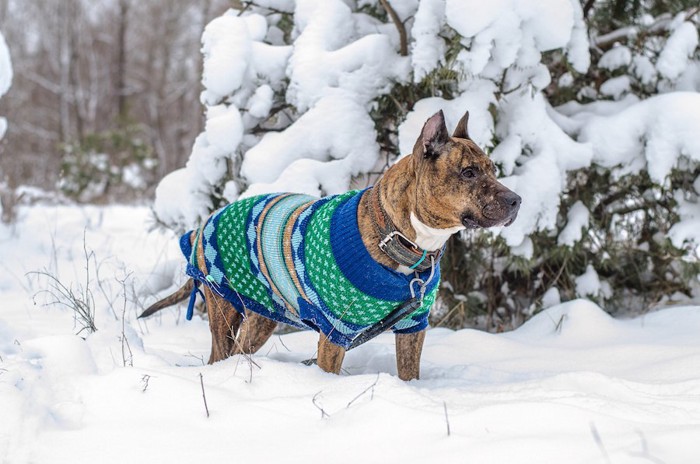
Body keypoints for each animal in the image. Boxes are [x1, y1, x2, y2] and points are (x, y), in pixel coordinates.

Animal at [141, 109, 520, 380]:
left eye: (493, 168)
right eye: (469, 172)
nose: (516, 200)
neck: (396, 236)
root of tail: (204, 223)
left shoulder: (413, 326)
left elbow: (409, 372)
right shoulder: (336, 332)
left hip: (263, 315)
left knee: (242, 348)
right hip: (223, 307)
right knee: (220, 352)